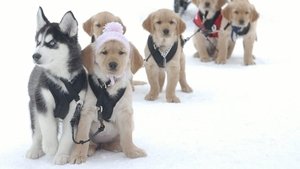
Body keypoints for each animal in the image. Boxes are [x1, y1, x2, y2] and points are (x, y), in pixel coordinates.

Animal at [25, 7, 86, 164]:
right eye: (38, 42)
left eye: (51, 43)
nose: (35, 56)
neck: (62, 79)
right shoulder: (43, 101)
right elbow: (47, 126)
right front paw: (51, 147)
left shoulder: (75, 108)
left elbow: (67, 136)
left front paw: (62, 155)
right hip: (33, 106)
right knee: (37, 131)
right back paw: (35, 150)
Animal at [69, 22, 146, 164]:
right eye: (104, 52)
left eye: (121, 52)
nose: (113, 64)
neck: (108, 84)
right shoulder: (87, 111)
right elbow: (82, 136)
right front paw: (78, 155)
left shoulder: (125, 112)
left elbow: (127, 136)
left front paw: (132, 152)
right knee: (90, 142)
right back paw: (90, 148)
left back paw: (117, 145)